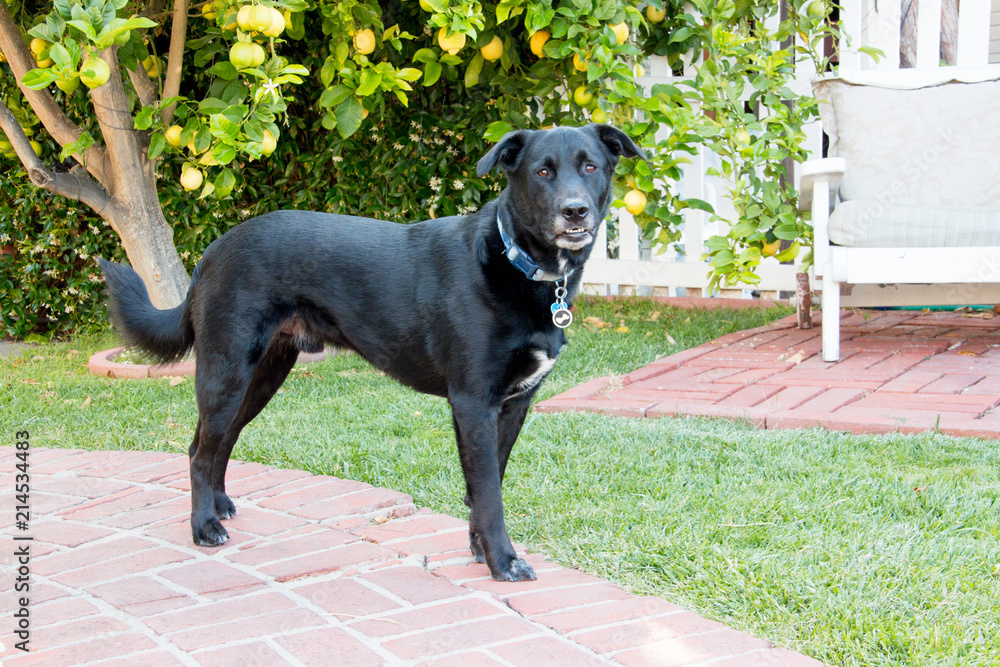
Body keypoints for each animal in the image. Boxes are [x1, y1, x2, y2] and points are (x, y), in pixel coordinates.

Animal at [101, 126, 644, 584]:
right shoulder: (473, 403)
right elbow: (489, 493)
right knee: (199, 450)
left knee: (218, 441)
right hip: (227, 370)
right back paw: (203, 527)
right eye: (542, 172)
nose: (575, 211)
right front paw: (503, 561)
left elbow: (486, 484)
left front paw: (479, 549)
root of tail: (213, 251)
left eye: (590, 166)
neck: (520, 265)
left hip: (262, 375)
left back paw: (219, 506)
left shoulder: (513, 405)